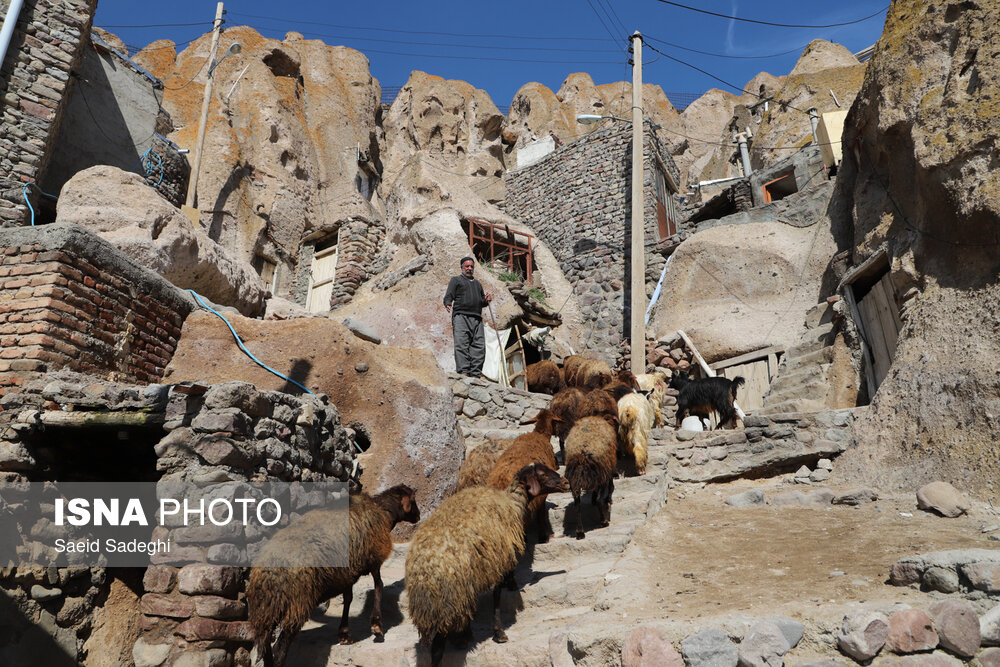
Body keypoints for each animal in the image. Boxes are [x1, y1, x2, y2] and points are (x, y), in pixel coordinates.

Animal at [254, 486, 422, 667]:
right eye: (413, 499)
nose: (419, 516)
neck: (383, 511)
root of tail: (270, 572)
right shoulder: (374, 558)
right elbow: (379, 585)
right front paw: (377, 626)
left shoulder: (348, 573)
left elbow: (348, 598)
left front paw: (344, 634)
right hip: (297, 604)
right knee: (279, 651)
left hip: (265, 613)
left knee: (267, 651)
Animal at [402, 462, 568, 664]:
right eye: (542, 473)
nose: (566, 482)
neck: (511, 502)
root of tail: (424, 571)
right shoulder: (496, 563)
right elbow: (496, 598)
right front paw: (499, 633)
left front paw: (467, 634)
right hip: (446, 600)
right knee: (437, 650)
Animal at [490, 408, 568, 544]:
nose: (558, 432)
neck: (540, 434)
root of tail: (501, 480)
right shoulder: (541, 495)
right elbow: (541, 513)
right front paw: (543, 536)